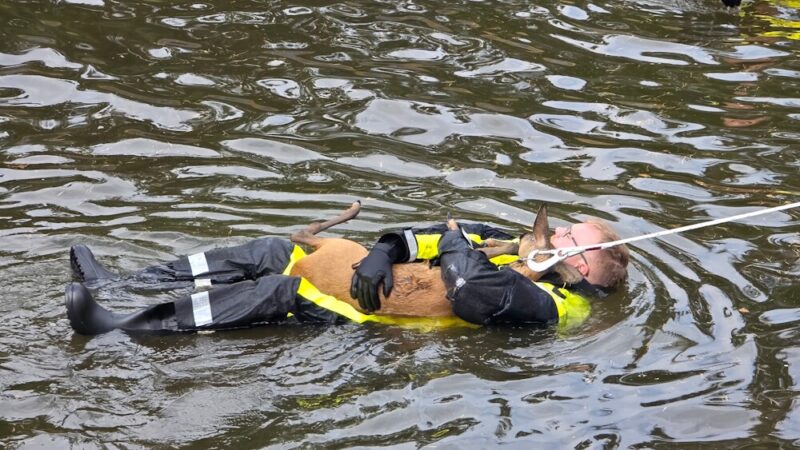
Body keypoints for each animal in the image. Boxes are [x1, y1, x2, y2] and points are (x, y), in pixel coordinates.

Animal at [288, 201, 583, 317]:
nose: (520, 234)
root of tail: (300, 267)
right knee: (300, 232)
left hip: (342, 247)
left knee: (302, 231)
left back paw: (354, 209)